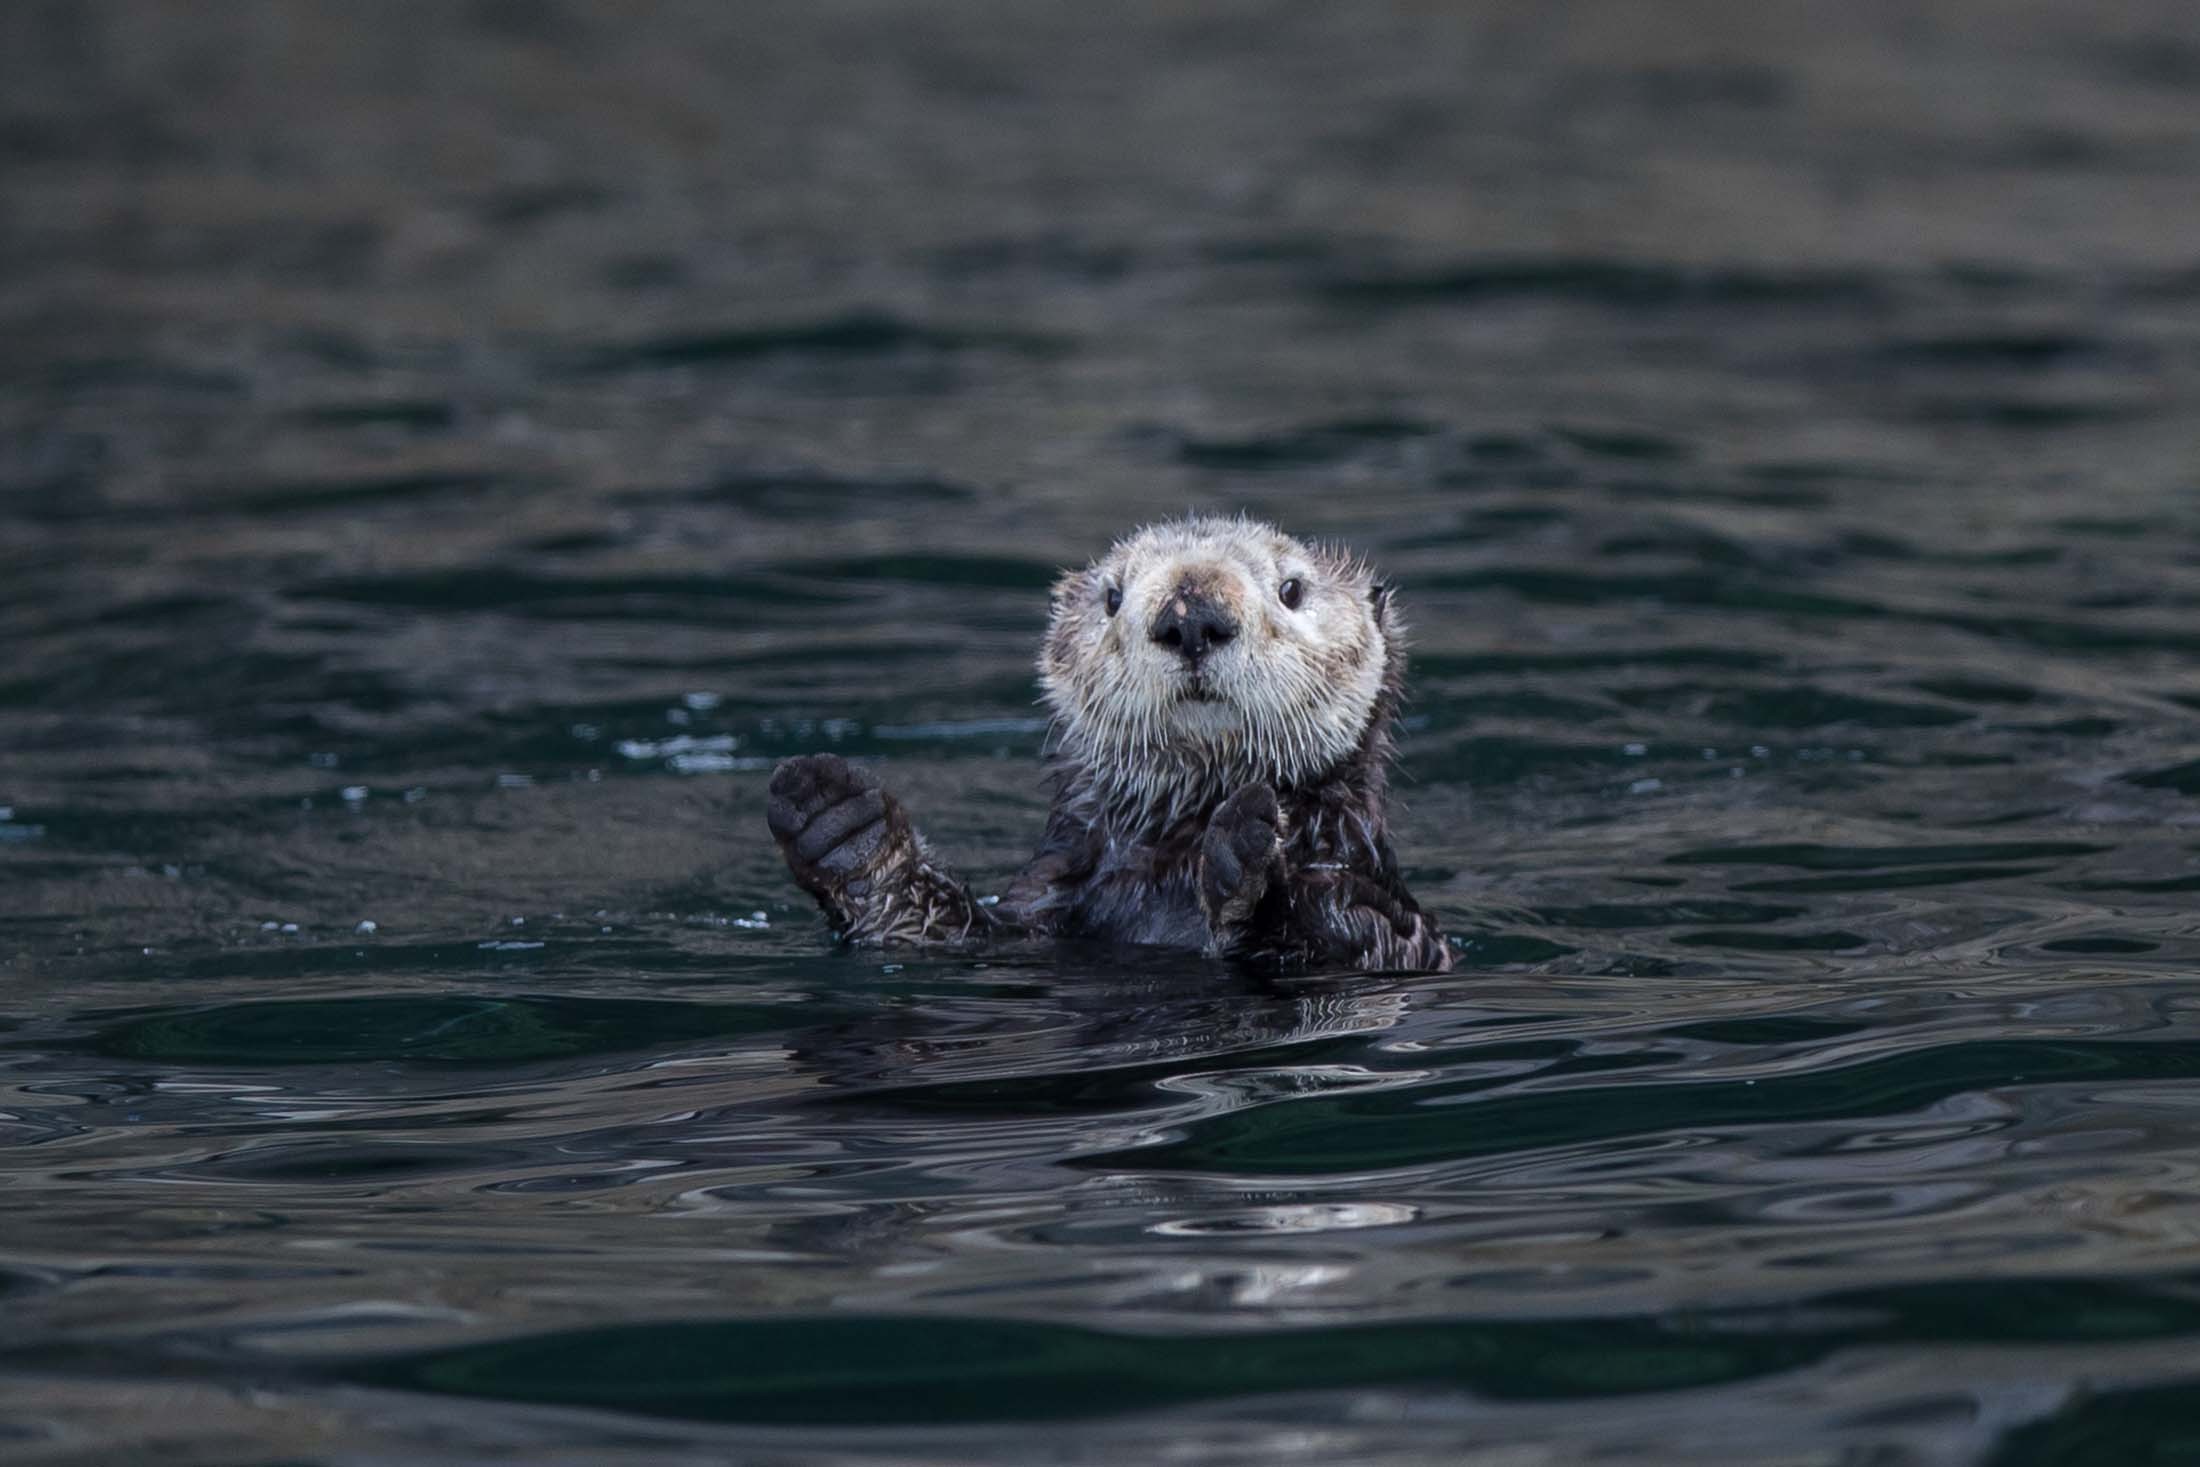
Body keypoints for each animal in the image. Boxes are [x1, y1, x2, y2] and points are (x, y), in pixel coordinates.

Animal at [766, 515, 1451, 971]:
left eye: (1293, 589)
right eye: (1113, 596)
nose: (1192, 616)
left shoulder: (1379, 921)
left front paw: (1245, 846)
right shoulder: (1039, 915)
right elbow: (936, 928)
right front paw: (842, 823)